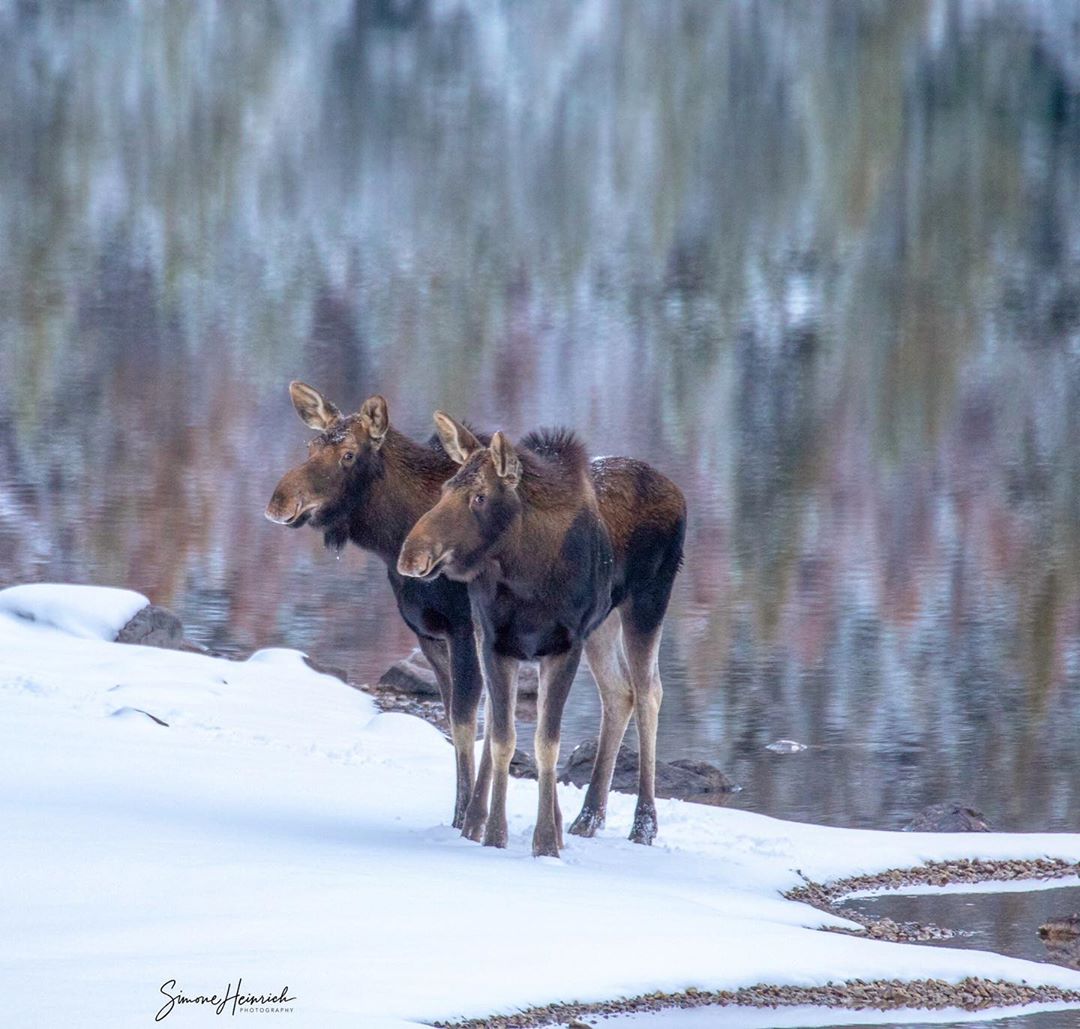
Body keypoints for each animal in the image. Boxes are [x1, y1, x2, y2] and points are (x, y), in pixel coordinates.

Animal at [397, 414, 682, 855]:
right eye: (445, 489)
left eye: (480, 496)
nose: (412, 556)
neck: (527, 579)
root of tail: (677, 492)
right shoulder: (495, 642)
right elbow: (502, 739)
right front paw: (493, 835)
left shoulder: (563, 645)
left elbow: (547, 744)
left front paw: (546, 842)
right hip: (602, 625)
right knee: (619, 693)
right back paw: (587, 818)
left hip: (648, 602)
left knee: (649, 692)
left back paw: (643, 826)